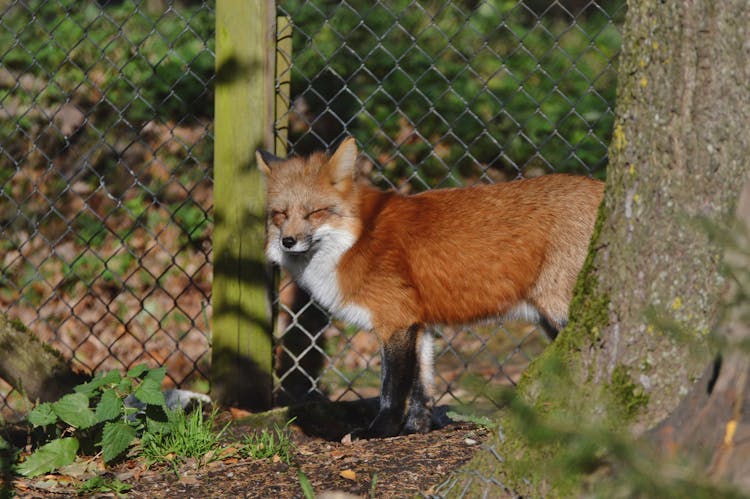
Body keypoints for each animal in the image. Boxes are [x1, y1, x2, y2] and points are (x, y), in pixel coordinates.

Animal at [258, 139, 604, 440]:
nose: (288, 241)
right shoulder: (419, 324)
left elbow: (392, 388)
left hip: (560, 310)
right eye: (280, 214)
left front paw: (379, 431)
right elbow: (422, 387)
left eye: (314, 212)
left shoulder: (395, 321)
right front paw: (416, 429)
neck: (357, 239)